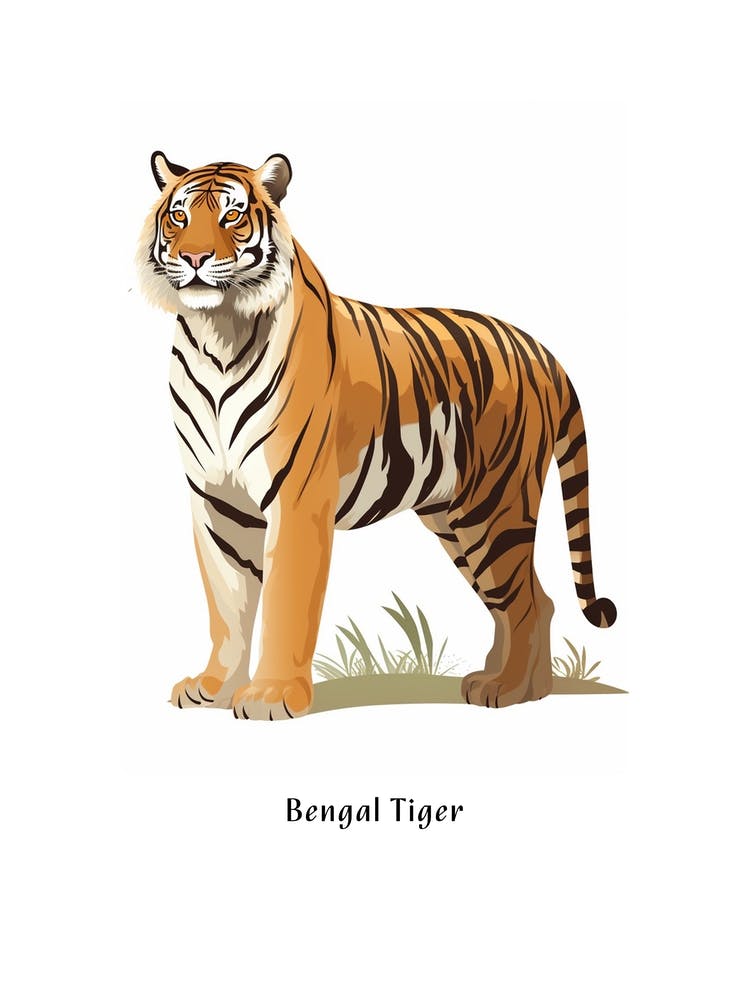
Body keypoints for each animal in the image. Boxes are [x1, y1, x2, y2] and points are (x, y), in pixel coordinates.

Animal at [137, 150, 617, 721]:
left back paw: (509, 690)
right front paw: (213, 689)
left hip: (495, 507)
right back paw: (510, 683)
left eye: (232, 216)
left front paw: (272, 697)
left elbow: (284, 603)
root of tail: (543, 352)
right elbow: (227, 605)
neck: (216, 335)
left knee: (526, 602)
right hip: (455, 519)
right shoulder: (216, 502)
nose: (193, 257)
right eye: (179, 217)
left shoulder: (296, 501)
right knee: (527, 599)